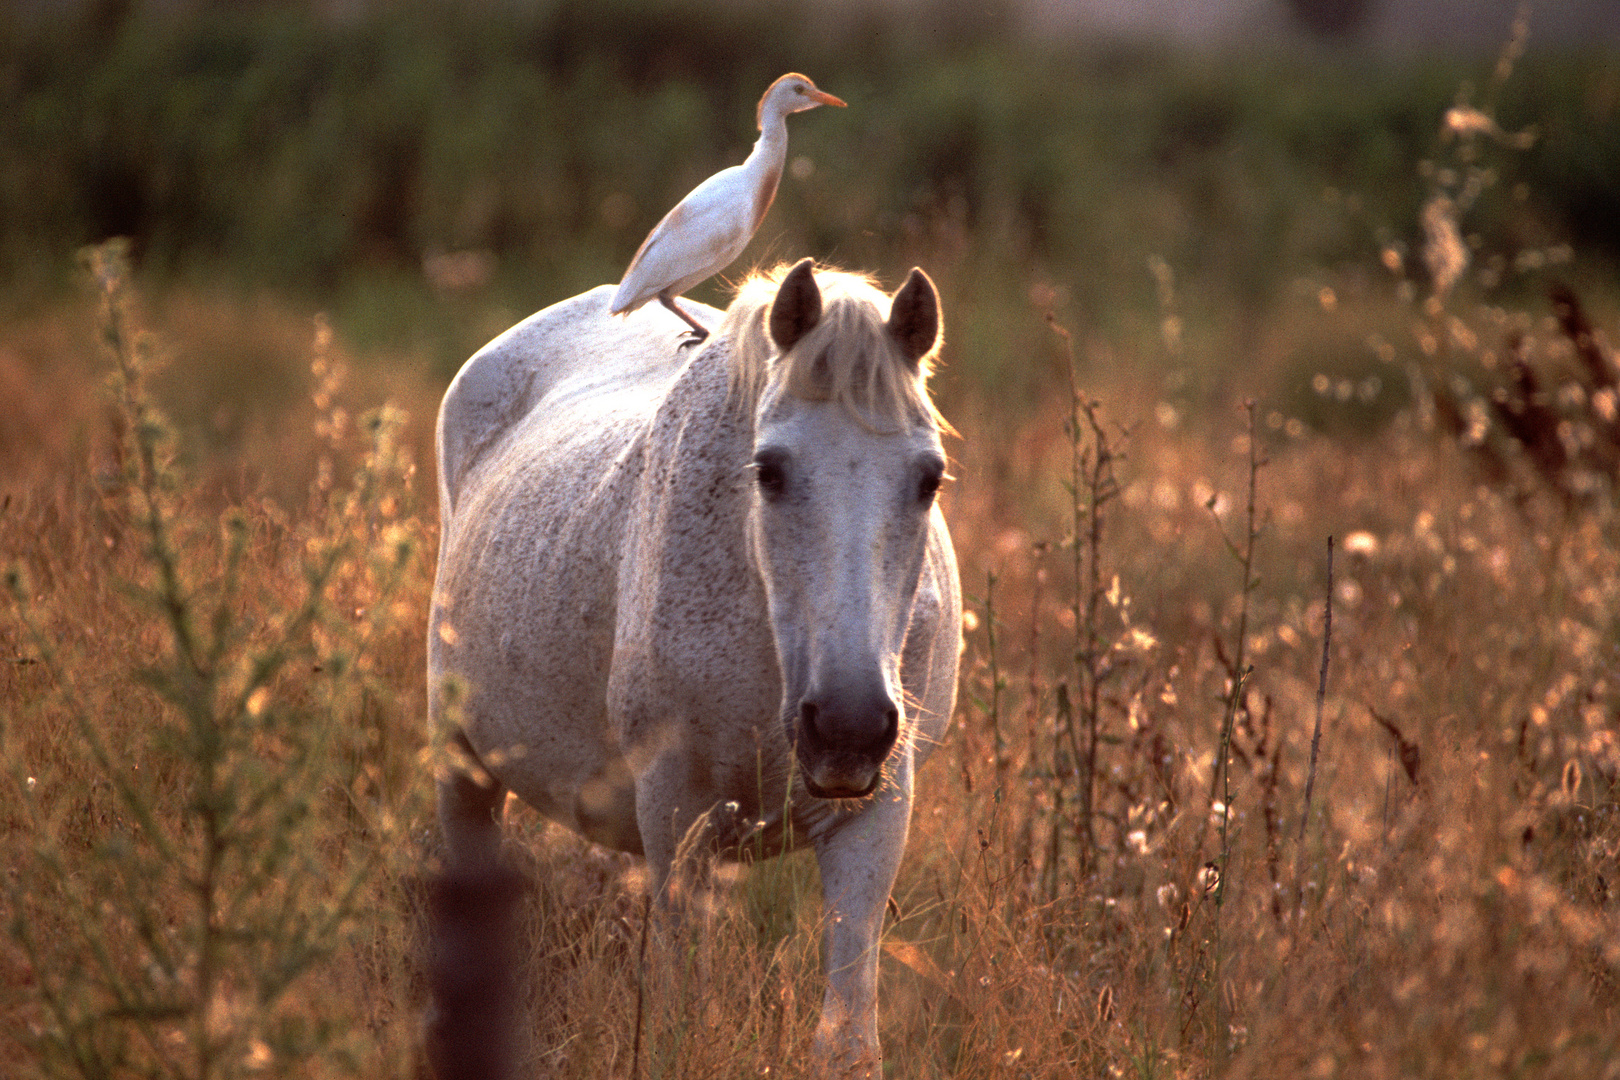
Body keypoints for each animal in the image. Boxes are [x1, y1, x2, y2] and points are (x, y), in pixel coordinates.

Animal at [430, 259, 959, 1075]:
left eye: (929, 477)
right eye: (768, 471)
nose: (848, 725)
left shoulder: (875, 814)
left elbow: (847, 1037)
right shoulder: (675, 813)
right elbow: (680, 1017)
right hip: (463, 768)